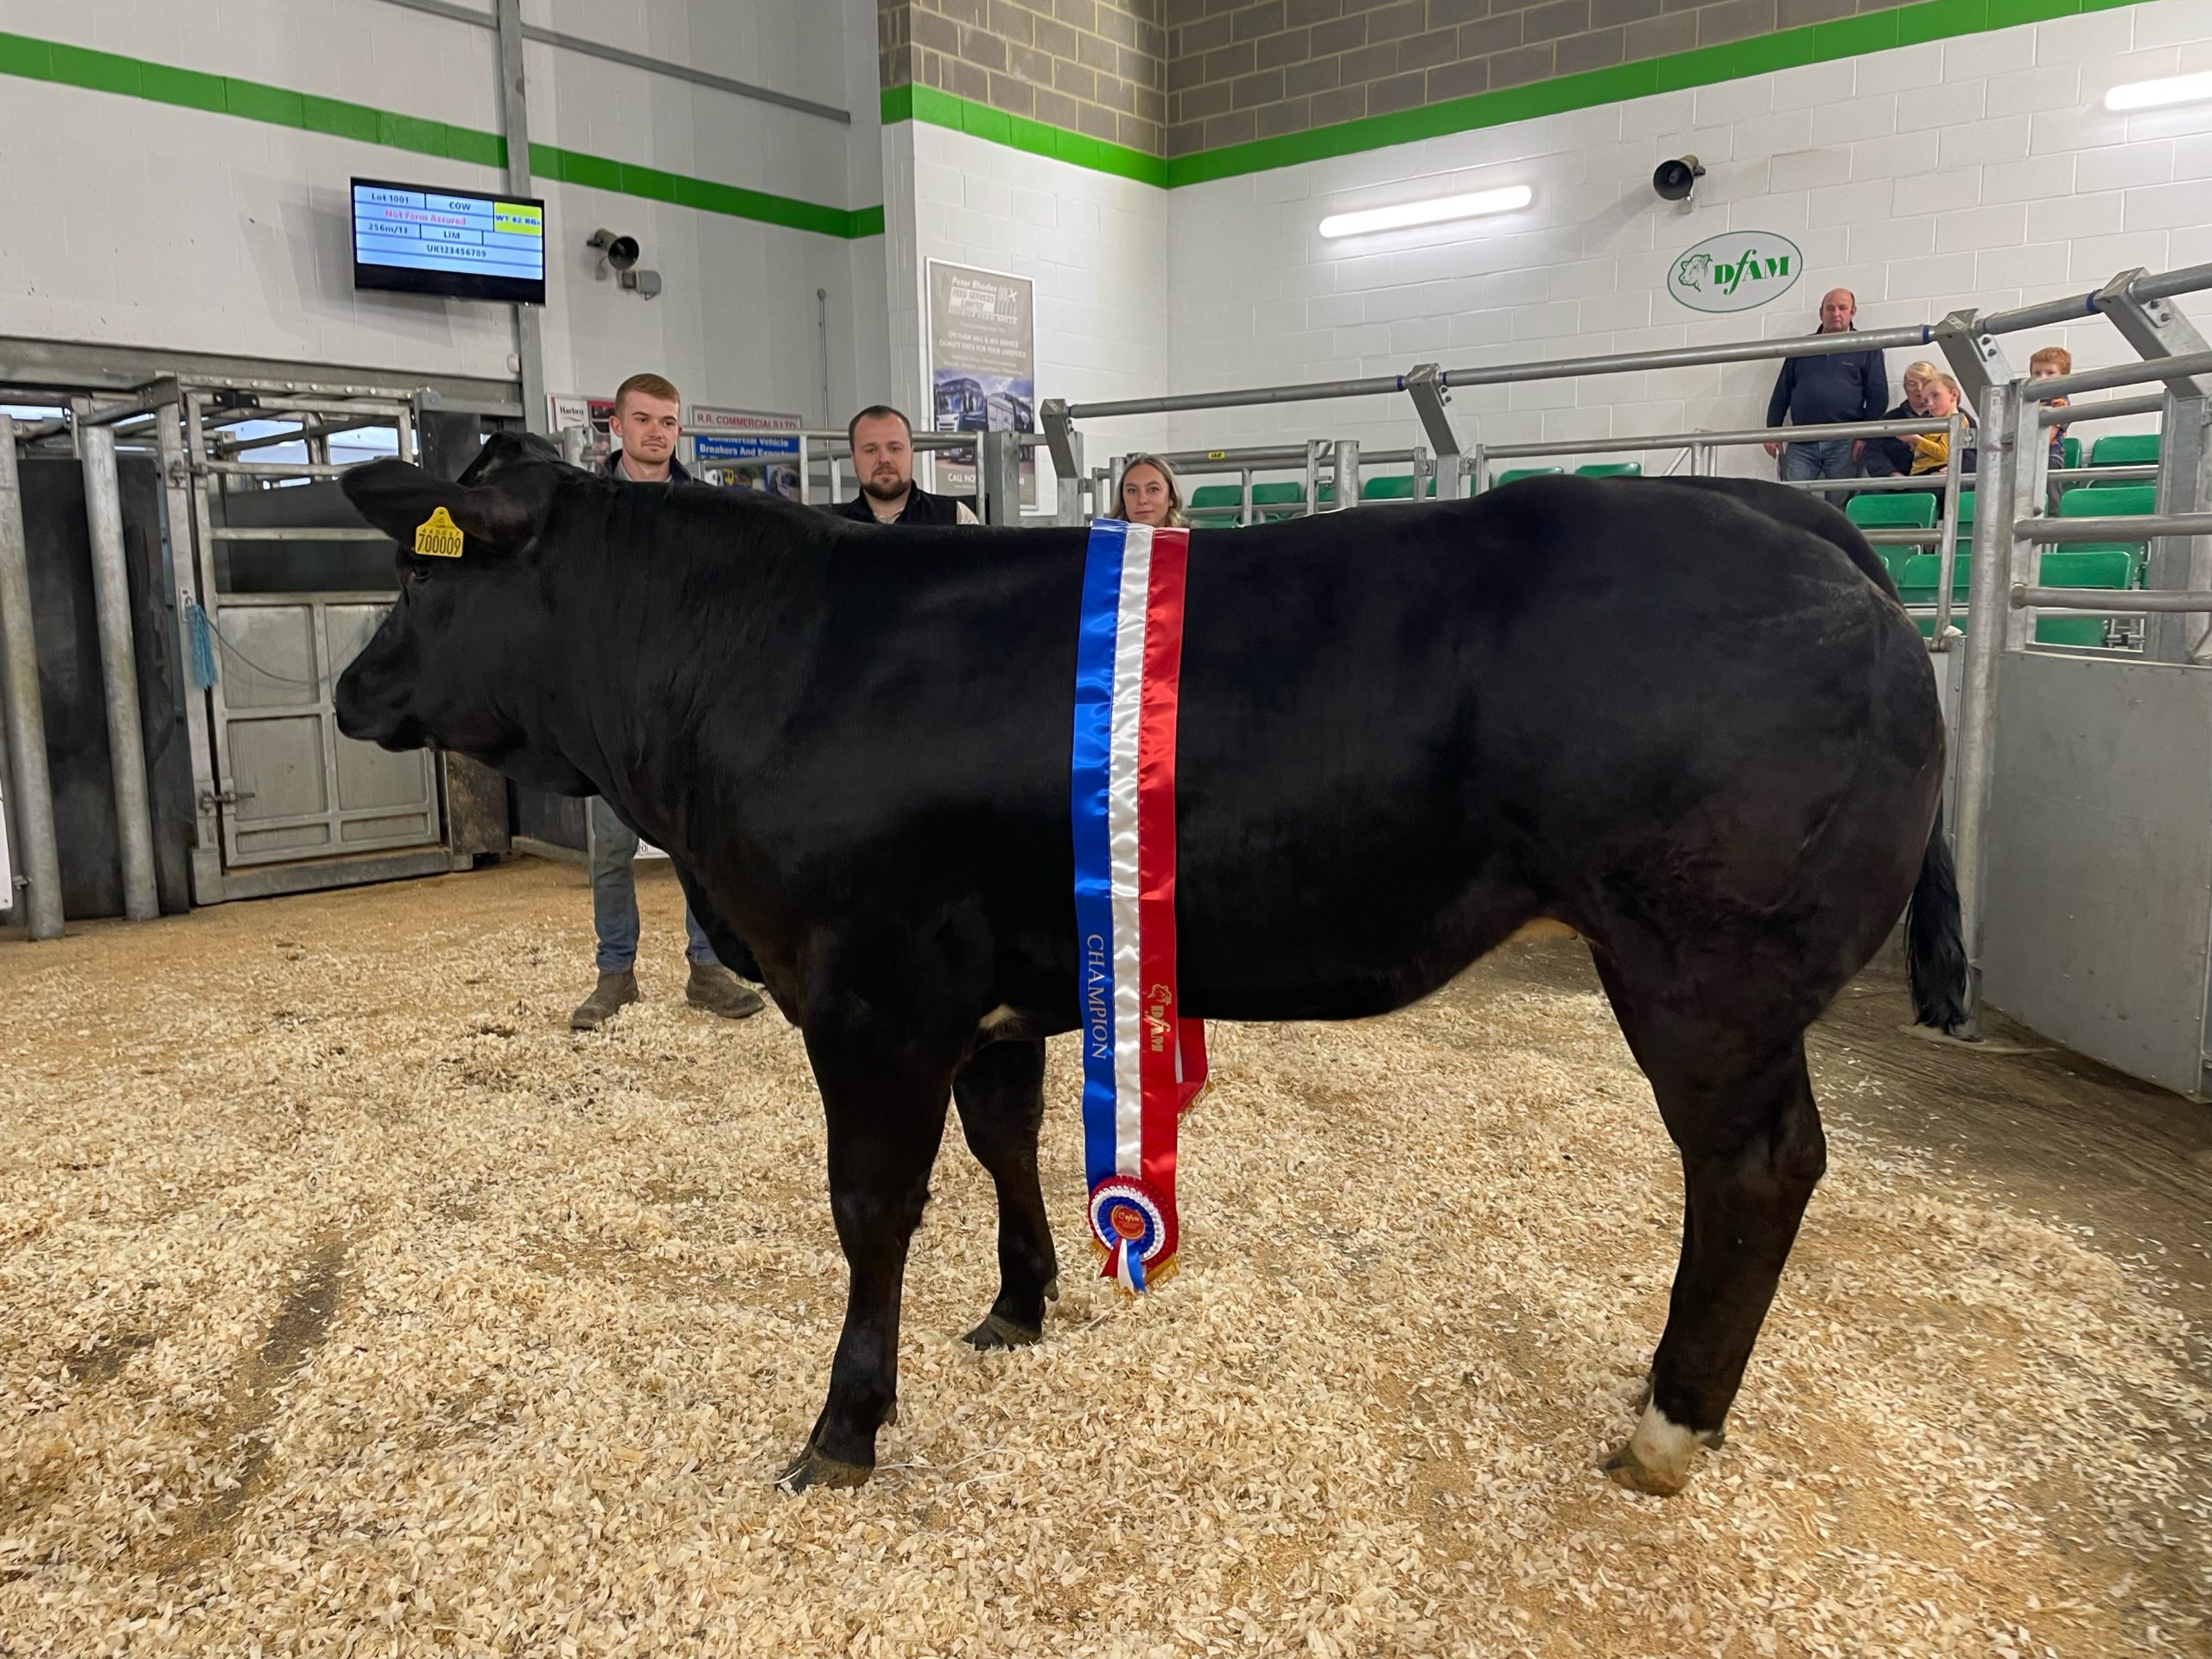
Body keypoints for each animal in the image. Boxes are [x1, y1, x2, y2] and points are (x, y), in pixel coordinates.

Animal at [334, 432, 1970, 1499]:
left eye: (420, 579)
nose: (351, 690)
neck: (743, 661)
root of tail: (1772, 509)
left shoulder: (870, 992)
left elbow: (871, 1207)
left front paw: (845, 1430)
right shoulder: (990, 988)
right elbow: (1003, 1141)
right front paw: (1020, 1305)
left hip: (1704, 970)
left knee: (1756, 1169)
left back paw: (1667, 1427)